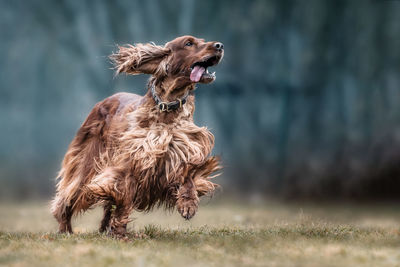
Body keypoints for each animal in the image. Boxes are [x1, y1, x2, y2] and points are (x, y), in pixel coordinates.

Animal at [50, 36, 223, 239]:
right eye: (189, 43)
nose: (220, 45)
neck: (167, 110)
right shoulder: (132, 160)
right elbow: (123, 197)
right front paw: (120, 232)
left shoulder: (182, 150)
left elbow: (188, 176)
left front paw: (188, 204)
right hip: (86, 163)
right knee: (69, 195)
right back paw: (66, 229)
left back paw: (104, 228)